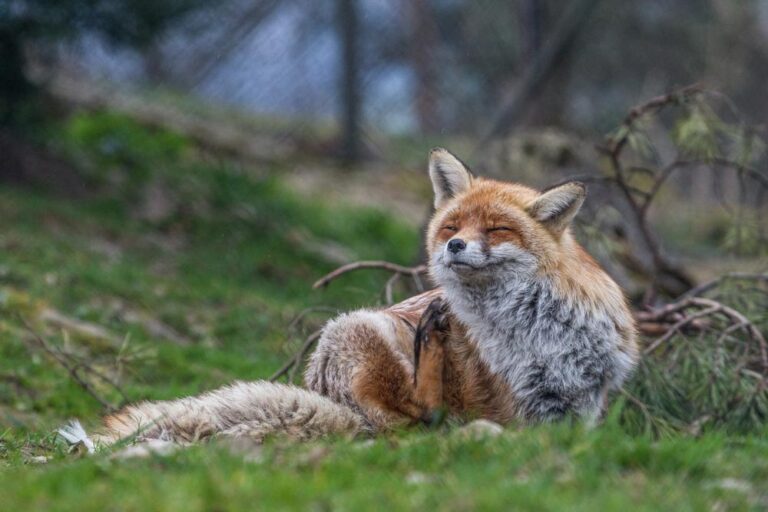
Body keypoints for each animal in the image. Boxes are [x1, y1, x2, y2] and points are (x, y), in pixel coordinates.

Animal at [62, 148, 638, 450]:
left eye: (497, 229)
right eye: (452, 226)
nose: (453, 246)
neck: (534, 329)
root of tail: (325, 395)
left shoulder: (579, 405)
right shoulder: (508, 401)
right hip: (360, 330)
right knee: (415, 421)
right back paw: (431, 344)